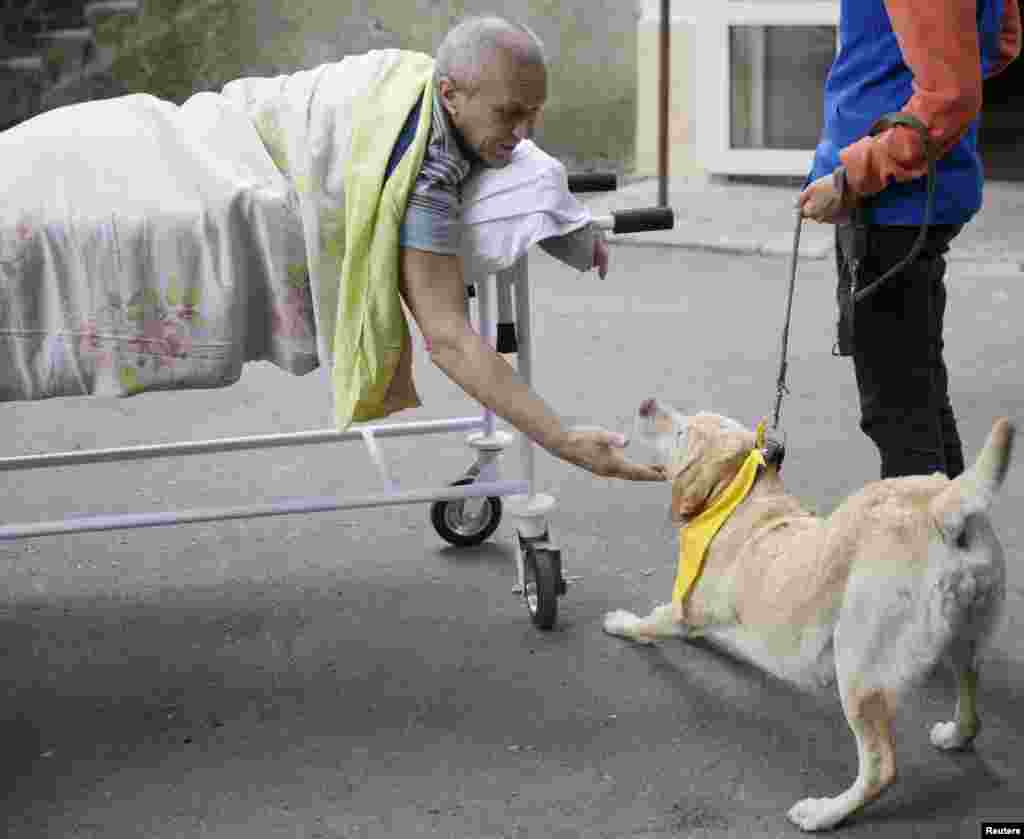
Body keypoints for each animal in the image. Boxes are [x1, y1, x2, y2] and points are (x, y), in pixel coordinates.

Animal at [602, 401, 1011, 831]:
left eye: (682, 432)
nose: (647, 404)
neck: (737, 497)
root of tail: (941, 507)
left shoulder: (680, 611)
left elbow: (649, 622)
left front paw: (620, 623)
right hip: (966, 636)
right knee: (970, 697)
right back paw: (955, 735)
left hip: (858, 670)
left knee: (880, 769)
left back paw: (824, 813)